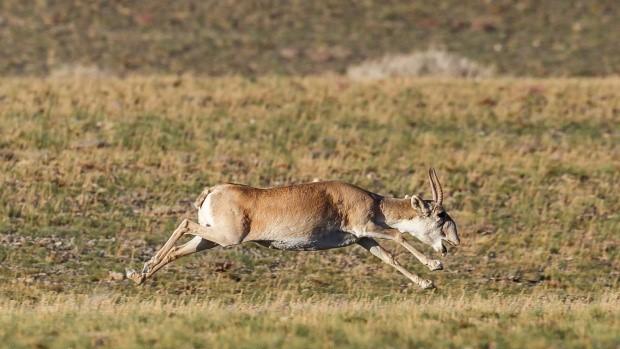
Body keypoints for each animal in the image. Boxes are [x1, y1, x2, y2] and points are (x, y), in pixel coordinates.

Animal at [126, 169, 458, 288]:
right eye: (441, 214)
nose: (452, 244)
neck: (373, 201)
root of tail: (213, 190)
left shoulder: (362, 239)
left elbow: (388, 257)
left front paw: (426, 283)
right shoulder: (366, 227)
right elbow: (398, 235)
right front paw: (434, 266)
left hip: (211, 239)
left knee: (179, 249)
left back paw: (138, 275)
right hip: (225, 238)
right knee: (184, 223)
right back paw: (139, 271)